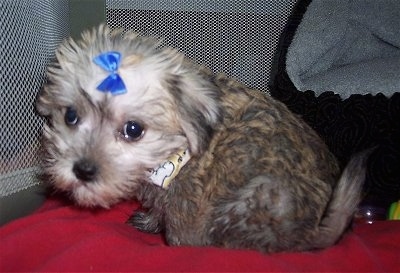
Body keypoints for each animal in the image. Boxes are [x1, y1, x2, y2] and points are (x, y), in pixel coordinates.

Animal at [36, 25, 366, 251]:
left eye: (133, 130)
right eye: (70, 116)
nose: (83, 171)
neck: (175, 153)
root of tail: (320, 231)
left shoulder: (190, 200)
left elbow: (182, 235)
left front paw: (175, 245)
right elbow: (159, 207)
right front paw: (150, 221)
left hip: (263, 192)